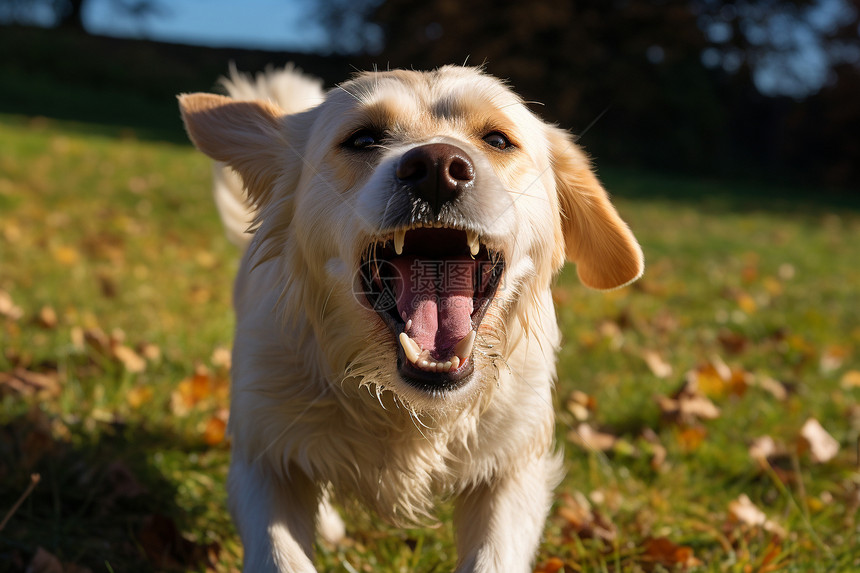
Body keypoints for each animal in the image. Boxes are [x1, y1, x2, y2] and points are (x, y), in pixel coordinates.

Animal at [178, 65, 640, 568]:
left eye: (497, 140)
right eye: (362, 139)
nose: (438, 167)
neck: (408, 409)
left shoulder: (513, 468)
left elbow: (493, 557)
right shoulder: (264, 456)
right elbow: (280, 554)